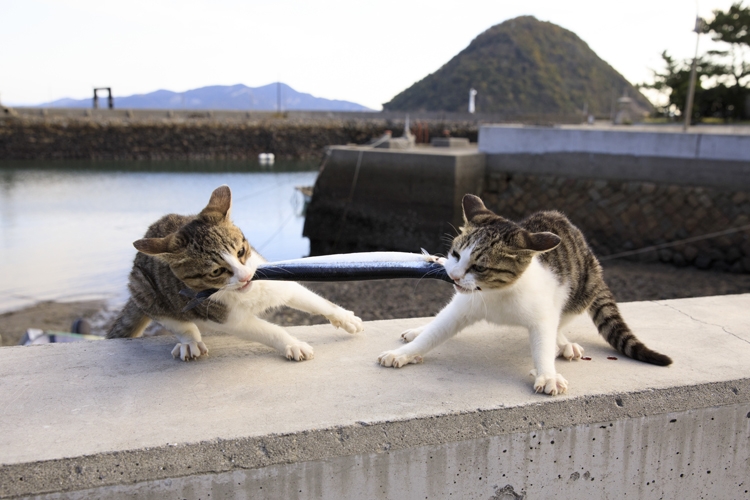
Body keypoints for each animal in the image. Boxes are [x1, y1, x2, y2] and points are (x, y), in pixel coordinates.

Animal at [108, 184, 364, 360]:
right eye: (216, 271)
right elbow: (267, 330)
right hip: (144, 288)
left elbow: (311, 299)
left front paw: (345, 318)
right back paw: (189, 341)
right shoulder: (225, 317)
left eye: (241, 251)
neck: (246, 293)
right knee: (174, 319)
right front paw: (292, 343)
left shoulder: (270, 277)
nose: (246, 277)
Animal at [378, 194, 672, 394]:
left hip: (580, 291)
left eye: (480, 267)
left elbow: (544, 339)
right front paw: (404, 352)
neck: (497, 293)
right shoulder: (463, 306)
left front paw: (548, 374)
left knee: (561, 321)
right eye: (456, 254)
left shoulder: (542, 313)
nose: (454, 276)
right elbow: (437, 330)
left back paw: (563, 343)